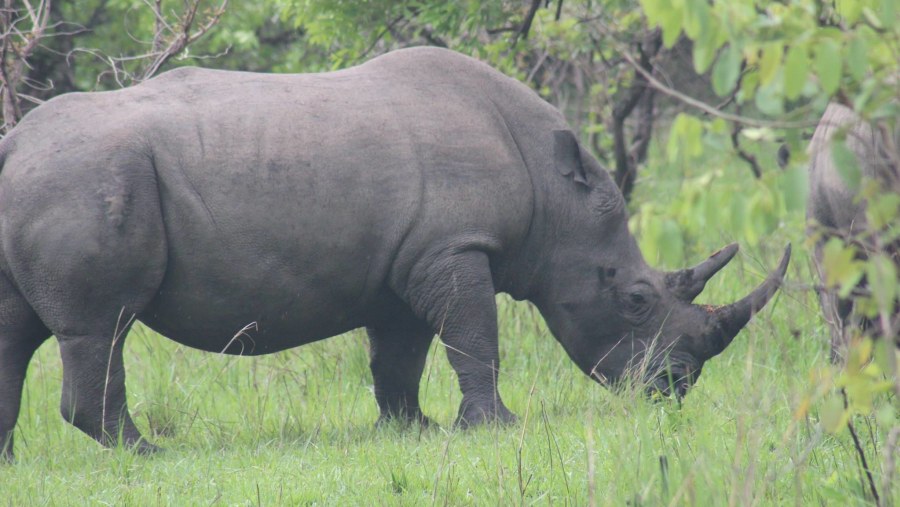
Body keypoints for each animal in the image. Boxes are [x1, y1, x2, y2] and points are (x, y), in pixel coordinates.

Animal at [0, 48, 788, 460]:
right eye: (635, 298)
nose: (676, 387)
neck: (550, 192)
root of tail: (13, 144)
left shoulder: (408, 263)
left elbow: (399, 357)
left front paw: (411, 430)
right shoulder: (454, 247)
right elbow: (474, 340)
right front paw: (495, 429)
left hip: (48, 180)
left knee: (17, 332)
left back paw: (14, 463)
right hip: (87, 179)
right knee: (98, 327)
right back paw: (147, 453)